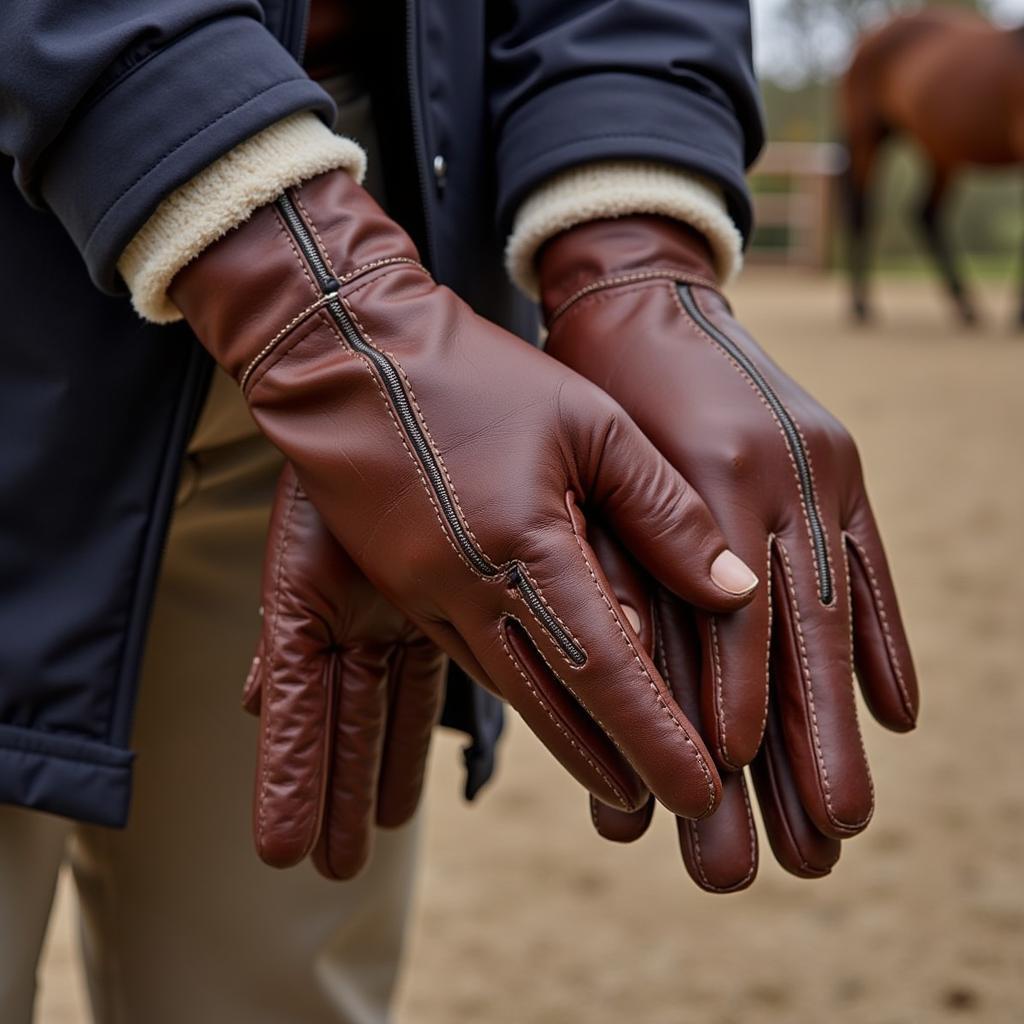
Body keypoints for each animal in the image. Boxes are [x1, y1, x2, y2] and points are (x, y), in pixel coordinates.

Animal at [839, 9, 1024, 323]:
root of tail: (866, 37)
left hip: (939, 153)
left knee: (925, 213)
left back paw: (963, 302)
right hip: (869, 135)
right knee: (863, 209)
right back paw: (860, 304)